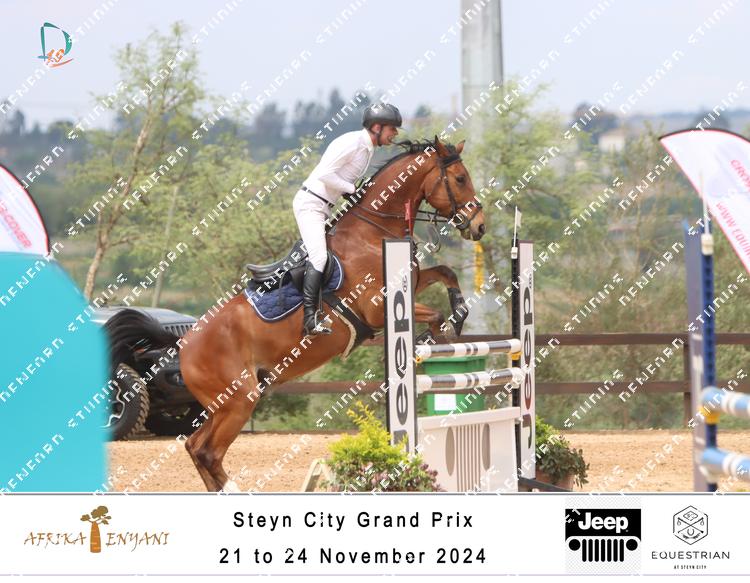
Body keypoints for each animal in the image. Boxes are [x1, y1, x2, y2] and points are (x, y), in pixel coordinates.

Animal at [108, 136, 485, 491]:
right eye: (460, 178)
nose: (479, 225)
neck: (372, 231)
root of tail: (182, 341)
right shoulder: (378, 309)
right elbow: (433, 316)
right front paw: (432, 337)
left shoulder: (411, 281)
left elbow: (447, 273)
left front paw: (459, 315)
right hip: (238, 400)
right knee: (207, 451)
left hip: (222, 403)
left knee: (194, 446)